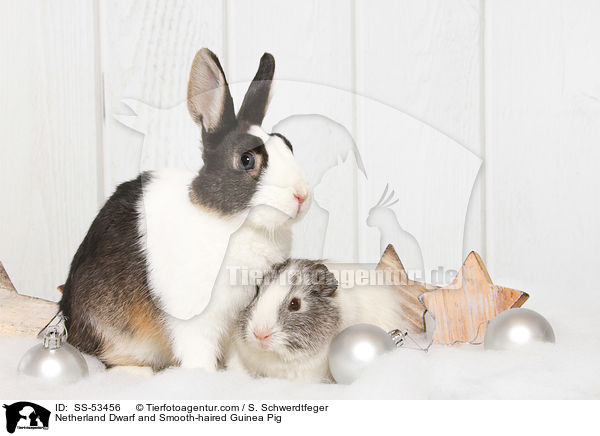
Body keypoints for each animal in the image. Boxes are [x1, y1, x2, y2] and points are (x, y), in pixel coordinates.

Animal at [59, 49, 312, 372]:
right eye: (246, 160)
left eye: (287, 145)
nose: (302, 195)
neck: (232, 224)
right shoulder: (195, 320)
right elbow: (199, 354)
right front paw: (203, 376)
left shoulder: (238, 321)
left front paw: (238, 376)